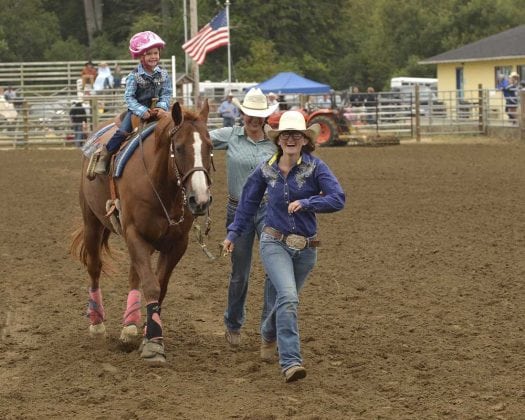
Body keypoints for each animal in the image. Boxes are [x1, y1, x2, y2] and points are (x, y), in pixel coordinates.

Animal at [70, 101, 212, 364]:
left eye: (210, 146)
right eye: (178, 147)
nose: (200, 200)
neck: (161, 185)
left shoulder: (177, 244)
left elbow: (159, 286)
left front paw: (148, 332)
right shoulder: (135, 234)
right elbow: (152, 286)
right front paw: (154, 344)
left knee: (133, 275)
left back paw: (130, 325)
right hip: (92, 222)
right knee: (94, 267)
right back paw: (97, 323)